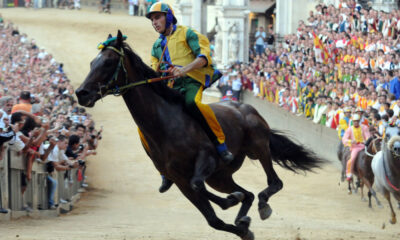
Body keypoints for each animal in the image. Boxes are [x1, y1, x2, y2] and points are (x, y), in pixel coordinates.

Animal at [76, 31, 324, 239]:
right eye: (91, 62)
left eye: (108, 62)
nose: (81, 93)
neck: (166, 124)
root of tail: (244, 107)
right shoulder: (179, 179)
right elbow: (212, 218)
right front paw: (242, 225)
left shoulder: (207, 159)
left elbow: (199, 185)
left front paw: (232, 202)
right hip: (220, 176)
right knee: (249, 193)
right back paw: (243, 212)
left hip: (257, 146)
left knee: (274, 182)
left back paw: (261, 203)